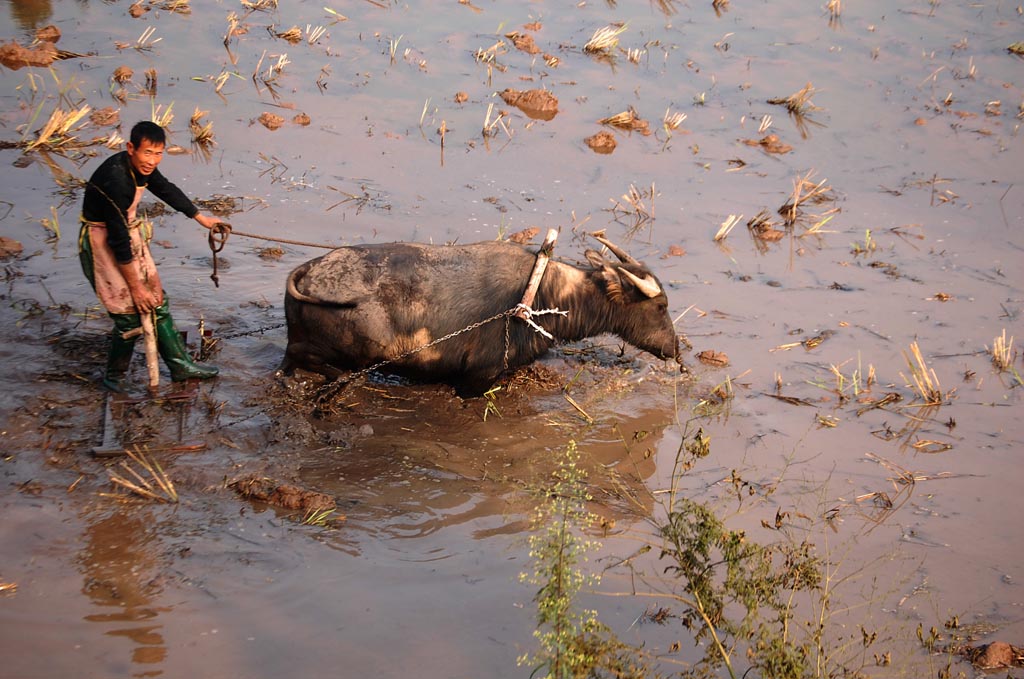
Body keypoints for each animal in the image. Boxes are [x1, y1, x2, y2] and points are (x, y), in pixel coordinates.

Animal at [280, 235, 679, 395]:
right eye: (661, 306)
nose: (675, 348)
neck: (542, 294)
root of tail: (309, 273)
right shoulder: (477, 378)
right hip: (355, 349)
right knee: (305, 357)